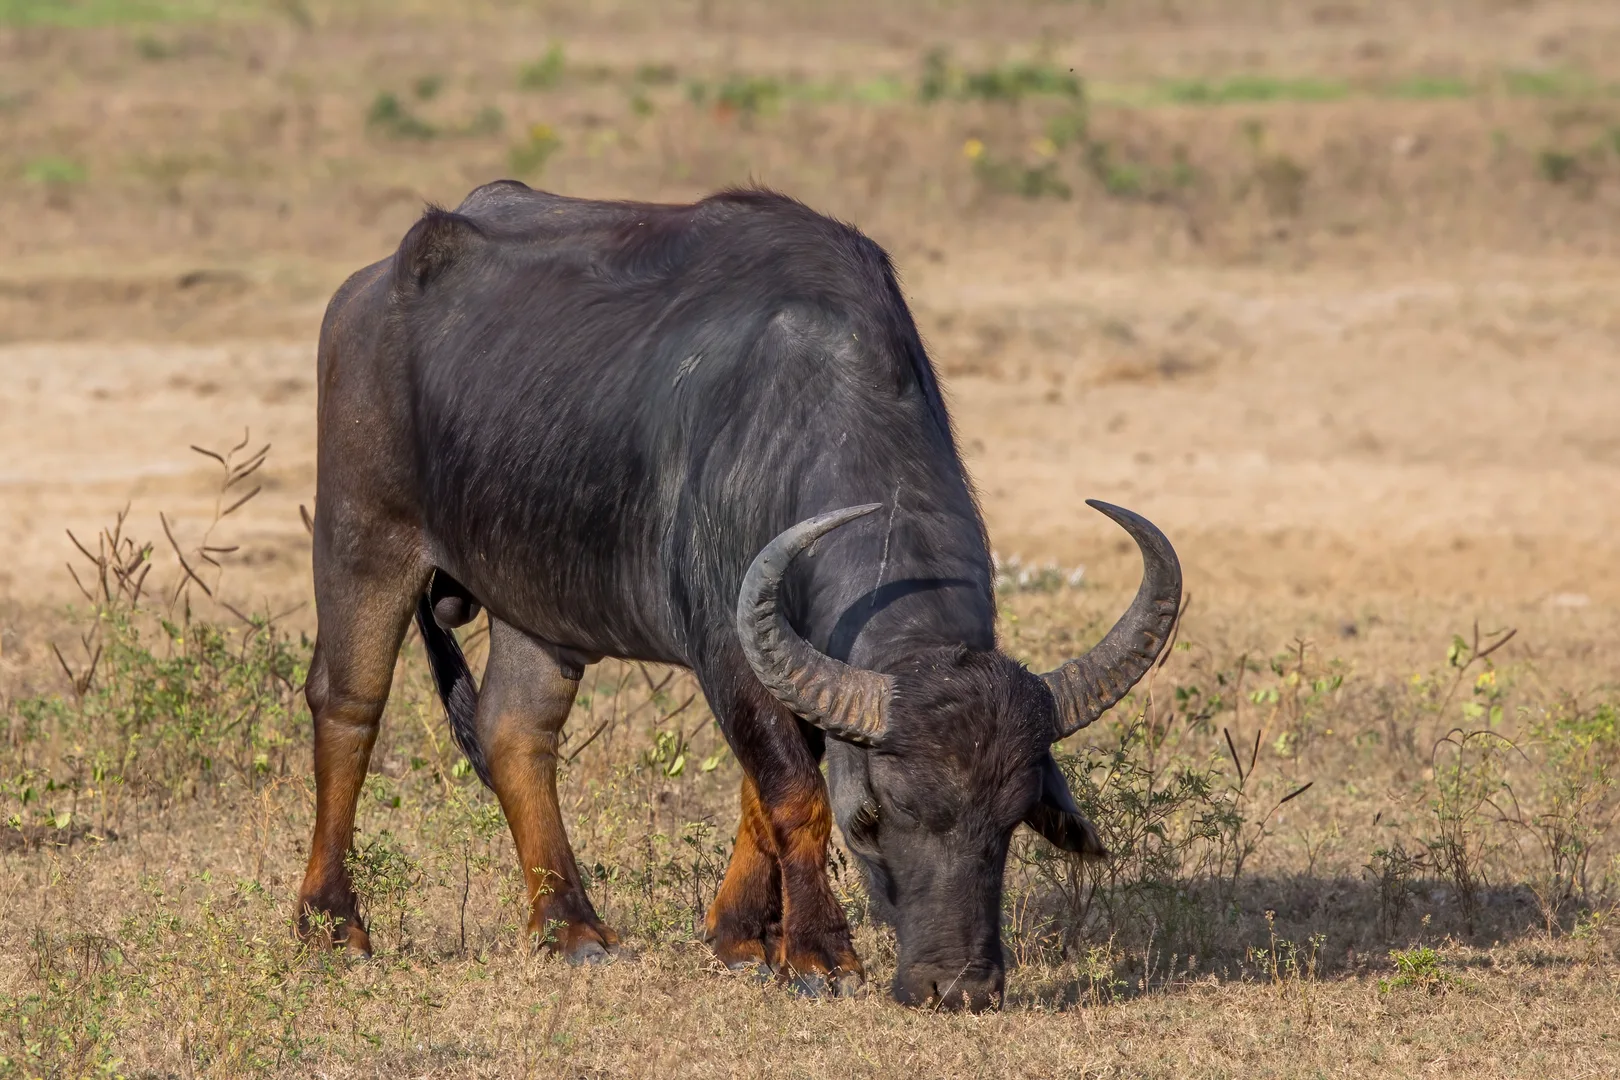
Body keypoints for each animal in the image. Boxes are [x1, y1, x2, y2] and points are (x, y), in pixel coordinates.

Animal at [296, 181, 1181, 1010]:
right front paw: (820, 954)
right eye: (874, 819)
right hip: (360, 535)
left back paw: (570, 926)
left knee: (516, 730)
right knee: (349, 705)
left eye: (1008, 825)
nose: (956, 985)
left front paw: (743, 937)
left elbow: (761, 794)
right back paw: (333, 923)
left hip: (535, 603)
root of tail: (369, 289)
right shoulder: (729, 647)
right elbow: (793, 793)